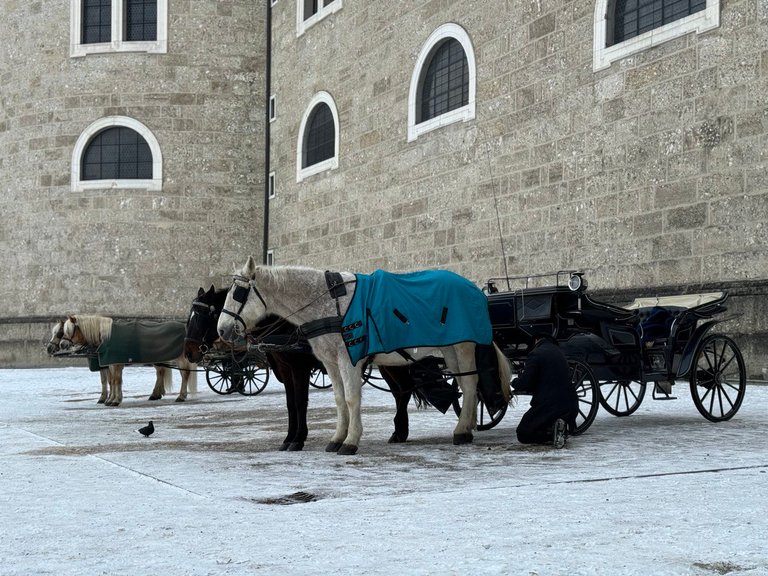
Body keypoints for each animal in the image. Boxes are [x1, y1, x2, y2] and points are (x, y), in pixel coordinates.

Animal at [60, 316, 198, 404]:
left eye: (69, 330)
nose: (62, 344)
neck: (106, 337)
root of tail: (185, 328)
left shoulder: (115, 363)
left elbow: (115, 380)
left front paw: (114, 400)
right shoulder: (111, 363)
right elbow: (113, 381)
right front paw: (111, 399)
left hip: (181, 358)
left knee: (184, 374)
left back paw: (181, 396)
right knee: (161, 372)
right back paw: (156, 394)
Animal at [185, 284, 416, 450]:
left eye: (203, 316)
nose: (188, 352)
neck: (286, 325)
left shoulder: (299, 368)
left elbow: (299, 402)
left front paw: (297, 439)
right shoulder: (285, 370)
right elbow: (290, 404)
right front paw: (289, 438)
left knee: (404, 392)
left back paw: (399, 431)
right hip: (389, 364)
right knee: (401, 392)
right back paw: (399, 431)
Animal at [216, 256, 510, 454]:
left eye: (238, 292)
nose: (222, 329)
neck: (329, 303)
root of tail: (473, 288)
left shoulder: (348, 359)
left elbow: (350, 398)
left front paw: (350, 440)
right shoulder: (331, 362)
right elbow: (338, 400)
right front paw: (337, 438)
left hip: (463, 345)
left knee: (470, 385)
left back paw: (461, 431)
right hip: (448, 349)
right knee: (461, 384)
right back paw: (466, 426)